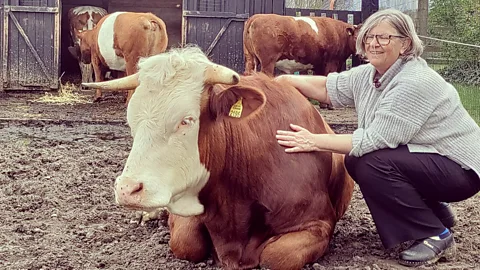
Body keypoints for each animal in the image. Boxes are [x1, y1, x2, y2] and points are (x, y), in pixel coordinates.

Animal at [81, 46, 352, 270]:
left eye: (186, 120)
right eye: (130, 120)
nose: (127, 189)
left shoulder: (318, 223)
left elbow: (275, 257)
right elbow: (186, 242)